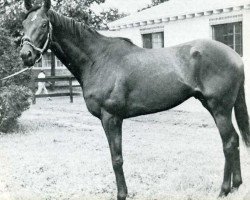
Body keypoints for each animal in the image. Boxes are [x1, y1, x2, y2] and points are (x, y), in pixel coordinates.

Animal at [20, 0, 250, 199]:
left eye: (43, 24)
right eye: (24, 24)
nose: (25, 55)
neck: (98, 60)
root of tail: (235, 56)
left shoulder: (111, 118)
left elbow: (116, 159)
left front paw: (121, 194)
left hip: (219, 108)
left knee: (229, 142)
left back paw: (223, 190)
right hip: (215, 106)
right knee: (234, 140)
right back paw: (236, 186)